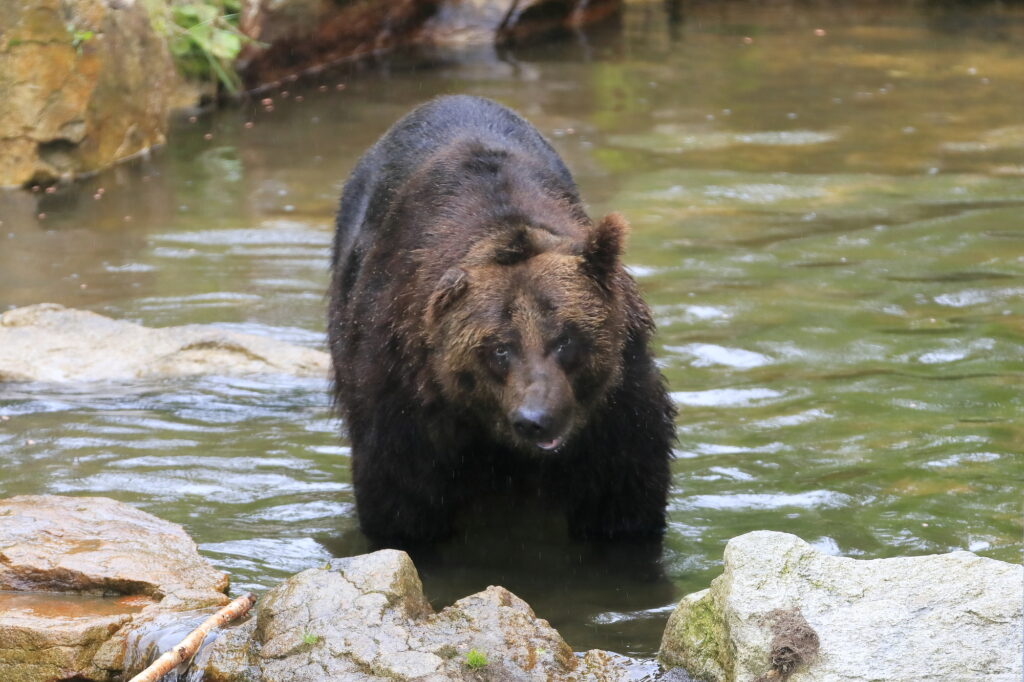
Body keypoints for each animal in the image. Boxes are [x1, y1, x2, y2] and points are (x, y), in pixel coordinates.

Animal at [329, 94, 671, 540]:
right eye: (499, 349)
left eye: (566, 339)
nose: (535, 420)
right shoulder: (407, 399)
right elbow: (401, 503)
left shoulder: (617, 412)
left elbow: (626, 504)